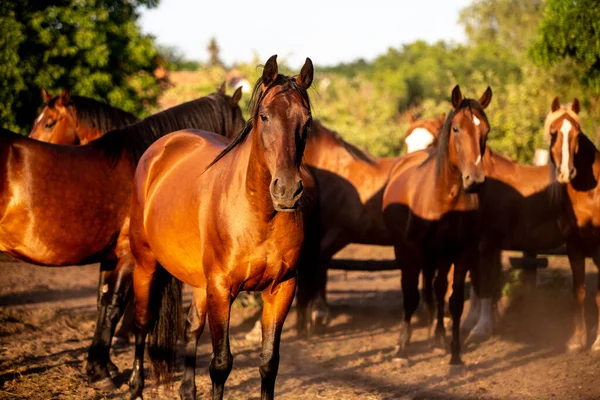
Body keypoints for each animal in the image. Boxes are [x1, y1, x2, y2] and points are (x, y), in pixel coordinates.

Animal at [2, 86, 246, 388]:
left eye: (48, 123)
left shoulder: (111, 257)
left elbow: (103, 304)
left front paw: (100, 366)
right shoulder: (129, 257)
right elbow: (114, 307)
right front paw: (101, 372)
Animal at [126, 54, 314, 400]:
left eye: (306, 121)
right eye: (264, 117)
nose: (287, 190)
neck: (260, 215)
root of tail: (163, 147)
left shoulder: (281, 289)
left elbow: (269, 363)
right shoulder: (222, 289)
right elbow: (221, 364)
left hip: (200, 282)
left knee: (191, 326)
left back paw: (187, 390)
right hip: (146, 263)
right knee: (142, 321)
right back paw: (135, 386)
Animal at [384, 86, 492, 374]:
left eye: (486, 129)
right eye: (456, 128)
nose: (475, 180)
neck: (444, 198)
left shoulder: (462, 253)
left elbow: (454, 302)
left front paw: (455, 356)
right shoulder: (413, 251)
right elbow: (411, 296)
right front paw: (401, 350)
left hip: (440, 257)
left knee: (439, 288)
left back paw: (440, 338)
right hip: (407, 252)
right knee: (413, 290)